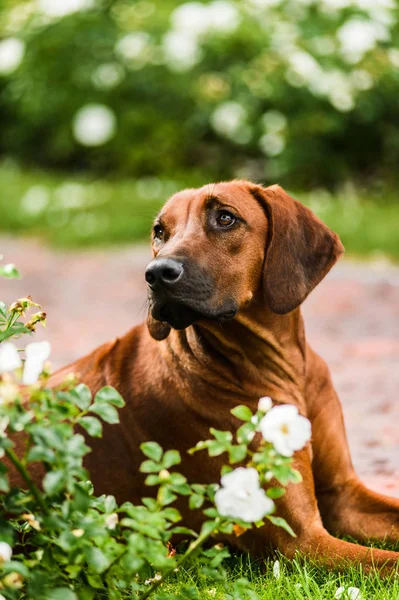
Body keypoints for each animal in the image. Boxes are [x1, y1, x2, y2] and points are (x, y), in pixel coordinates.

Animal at [37, 185, 399, 568]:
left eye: (225, 218)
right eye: (160, 232)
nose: (156, 273)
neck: (282, 370)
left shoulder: (343, 495)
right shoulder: (302, 540)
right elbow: (390, 563)